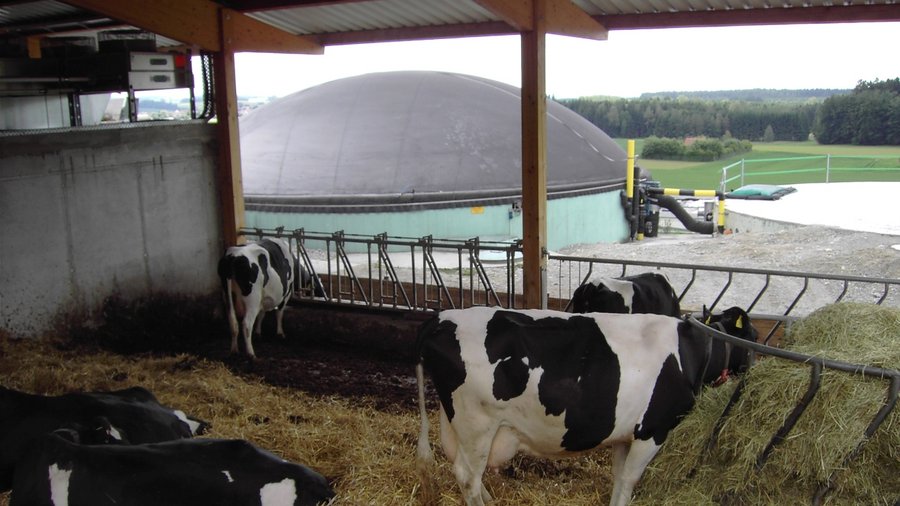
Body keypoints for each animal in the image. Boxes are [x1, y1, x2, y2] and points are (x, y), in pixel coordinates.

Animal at [418, 304, 756, 506]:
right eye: (752, 335)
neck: (689, 353)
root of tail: (441, 319)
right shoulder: (652, 430)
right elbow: (630, 479)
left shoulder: (625, 436)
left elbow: (619, 477)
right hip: (478, 424)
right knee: (467, 475)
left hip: (459, 424)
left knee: (465, 471)